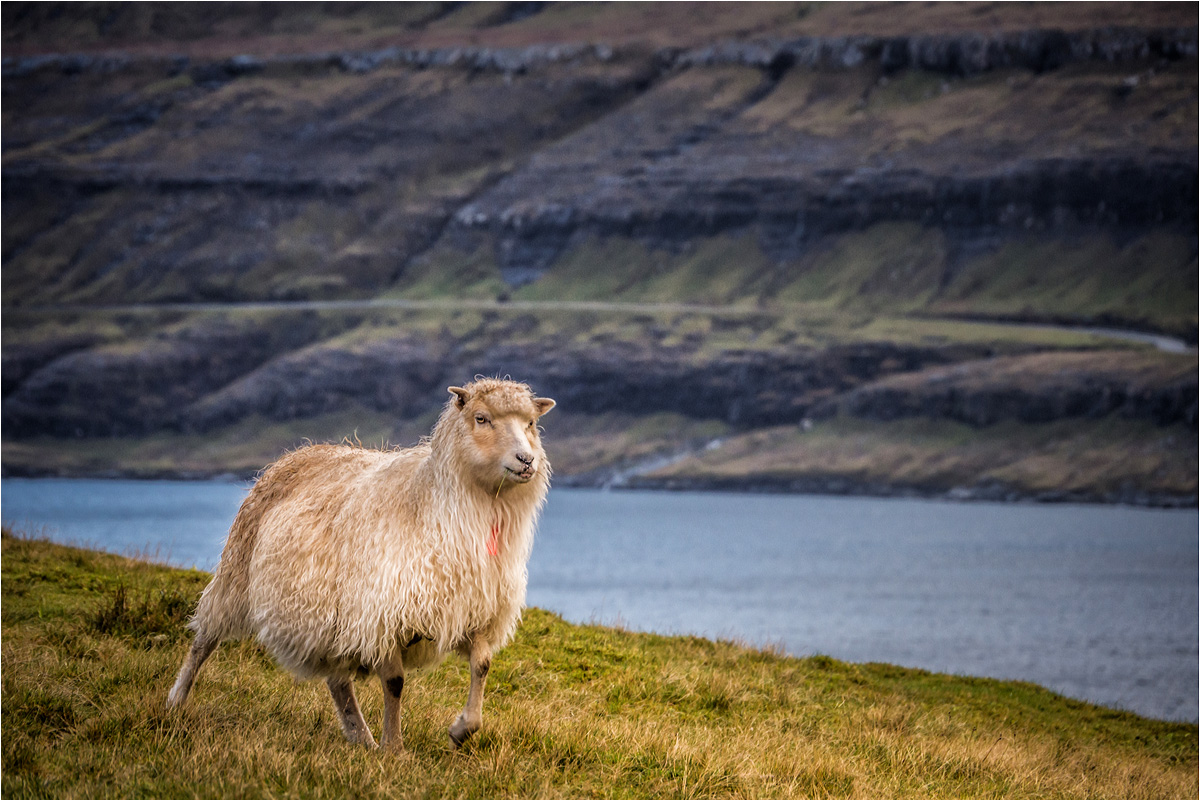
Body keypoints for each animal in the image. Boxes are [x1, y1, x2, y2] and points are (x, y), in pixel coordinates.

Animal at [169, 378, 556, 748]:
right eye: (481, 418)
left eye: (531, 423)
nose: (526, 460)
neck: (430, 503)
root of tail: (300, 451)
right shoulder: (380, 615)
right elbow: (396, 683)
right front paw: (394, 746)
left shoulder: (476, 611)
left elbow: (483, 666)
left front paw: (461, 729)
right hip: (236, 573)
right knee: (204, 640)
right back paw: (176, 699)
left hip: (328, 618)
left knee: (337, 680)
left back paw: (360, 736)